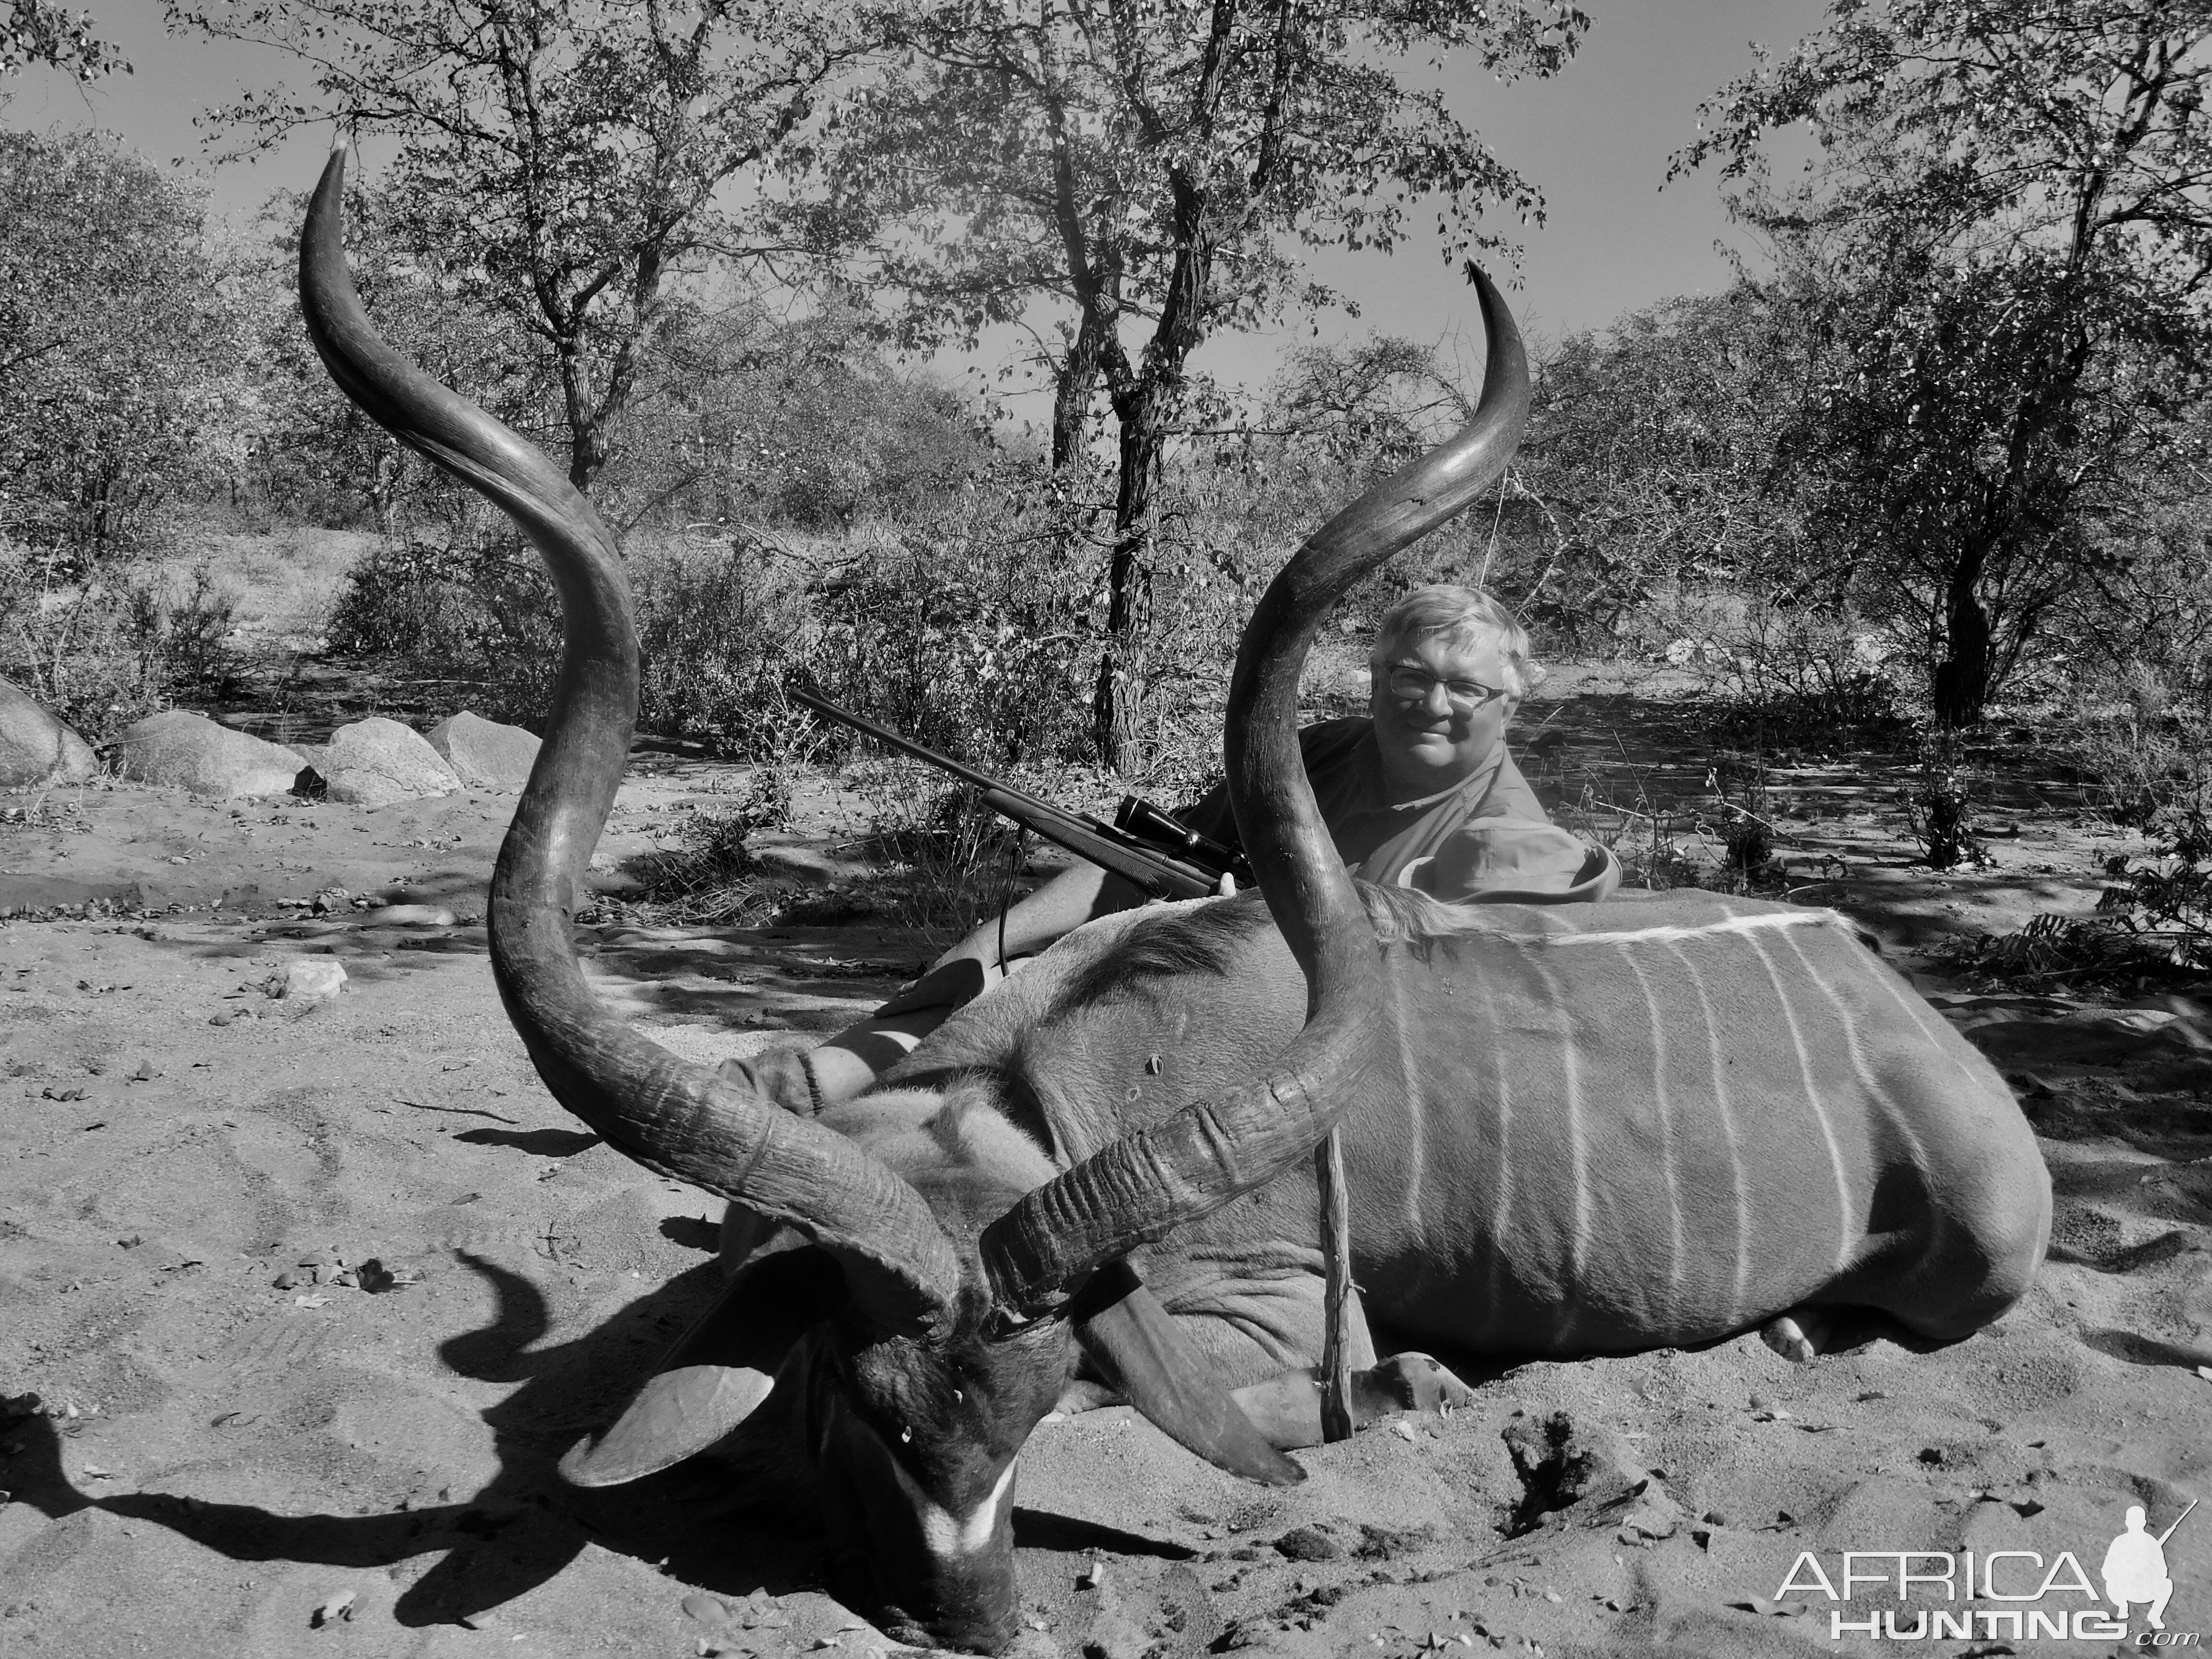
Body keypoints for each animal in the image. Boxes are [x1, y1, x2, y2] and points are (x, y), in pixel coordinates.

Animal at [303, 152, 2044, 1654]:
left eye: (1024, 1405)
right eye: (870, 1406)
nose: (967, 1618)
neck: (1041, 1088)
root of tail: (1902, 1006)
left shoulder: (1283, 1318)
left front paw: (1401, 1402)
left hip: (1980, 1248)